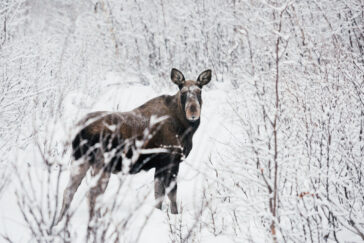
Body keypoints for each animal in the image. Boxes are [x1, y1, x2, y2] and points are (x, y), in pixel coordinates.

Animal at [58, 67, 212, 221]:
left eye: (199, 91)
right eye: (183, 92)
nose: (193, 112)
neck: (185, 128)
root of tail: (78, 130)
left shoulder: (160, 164)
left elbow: (158, 194)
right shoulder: (172, 160)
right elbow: (172, 194)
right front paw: (175, 216)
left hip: (80, 161)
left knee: (69, 190)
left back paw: (60, 220)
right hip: (102, 163)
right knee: (92, 194)